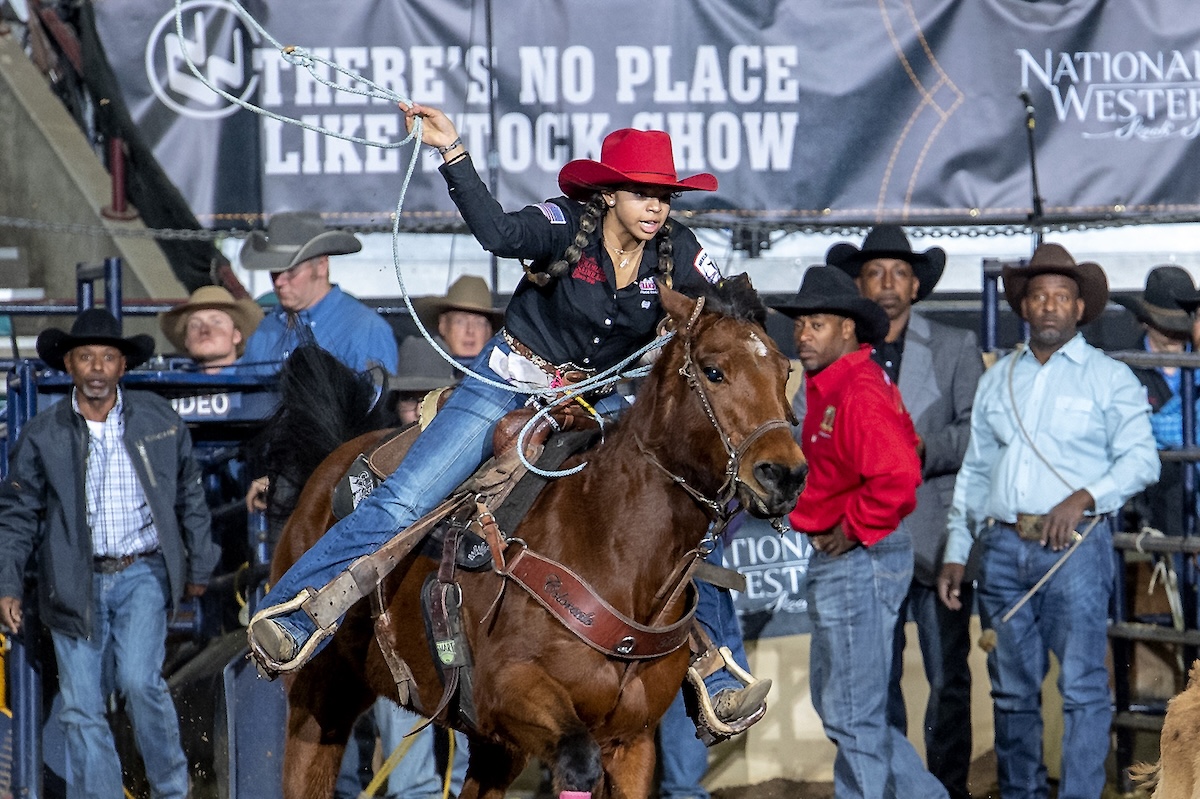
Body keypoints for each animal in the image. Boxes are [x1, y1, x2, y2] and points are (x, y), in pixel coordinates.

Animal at [268, 278, 811, 796]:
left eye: (785, 370)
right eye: (714, 371)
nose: (785, 474)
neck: (611, 547)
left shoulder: (631, 742)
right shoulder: (514, 693)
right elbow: (577, 759)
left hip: (489, 748)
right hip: (320, 696)